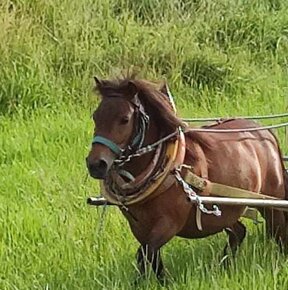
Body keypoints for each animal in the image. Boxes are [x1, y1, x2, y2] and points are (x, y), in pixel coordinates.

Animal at [86, 76, 288, 282]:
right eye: (95, 116)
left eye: (124, 119)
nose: (96, 164)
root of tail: (266, 133)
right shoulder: (139, 226)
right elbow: (151, 256)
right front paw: (160, 282)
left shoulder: (169, 223)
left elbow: (145, 253)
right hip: (226, 210)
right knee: (238, 232)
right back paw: (223, 266)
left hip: (270, 202)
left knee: (279, 233)